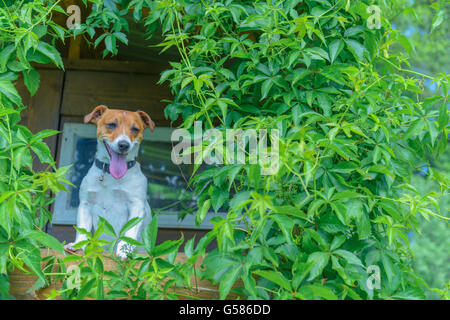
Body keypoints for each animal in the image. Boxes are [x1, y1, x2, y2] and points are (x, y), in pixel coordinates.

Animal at [63, 105, 155, 260]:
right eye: (111, 125)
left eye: (135, 129)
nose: (124, 144)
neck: (111, 177)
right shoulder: (86, 204)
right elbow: (82, 229)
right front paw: (79, 245)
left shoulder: (136, 205)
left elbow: (130, 231)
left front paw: (125, 249)